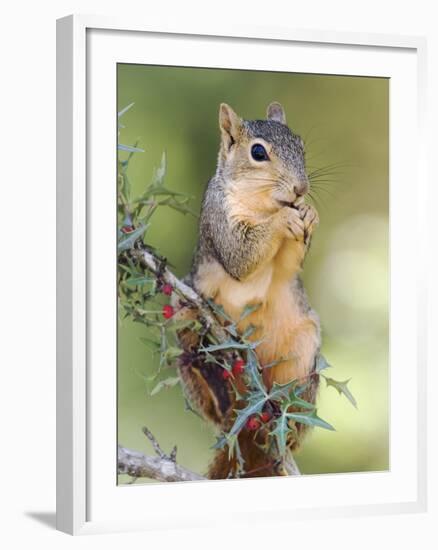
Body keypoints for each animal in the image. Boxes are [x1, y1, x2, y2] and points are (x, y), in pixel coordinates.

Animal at [173, 102, 320, 478]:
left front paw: (309, 212)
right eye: (258, 152)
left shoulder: (287, 268)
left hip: (303, 351)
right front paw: (283, 220)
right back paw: (216, 387)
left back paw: (286, 423)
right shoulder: (219, 219)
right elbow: (241, 256)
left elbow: (288, 266)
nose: (301, 189)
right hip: (183, 312)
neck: (264, 203)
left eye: (302, 145)